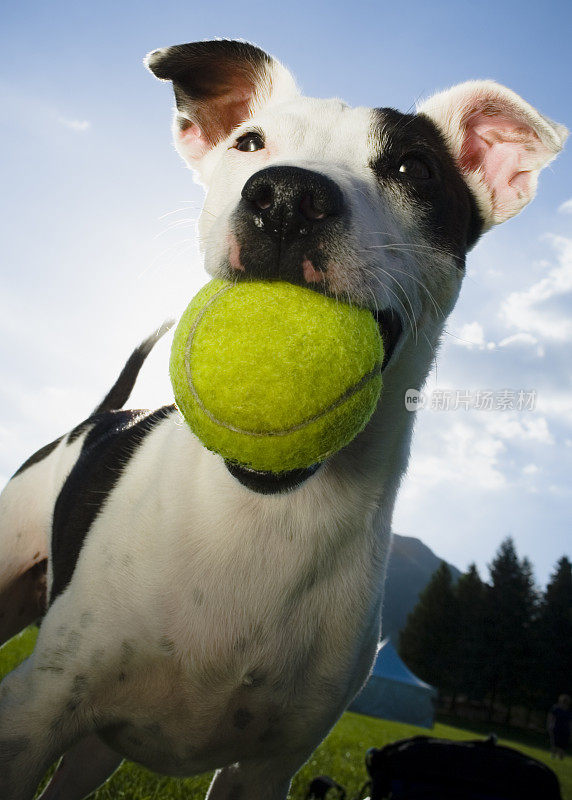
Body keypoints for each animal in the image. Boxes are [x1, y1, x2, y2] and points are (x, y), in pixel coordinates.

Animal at [0, 39, 564, 800]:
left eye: (414, 168)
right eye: (249, 142)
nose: (289, 197)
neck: (271, 516)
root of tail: (105, 417)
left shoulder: (266, 770)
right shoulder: (36, 710)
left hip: (96, 752)